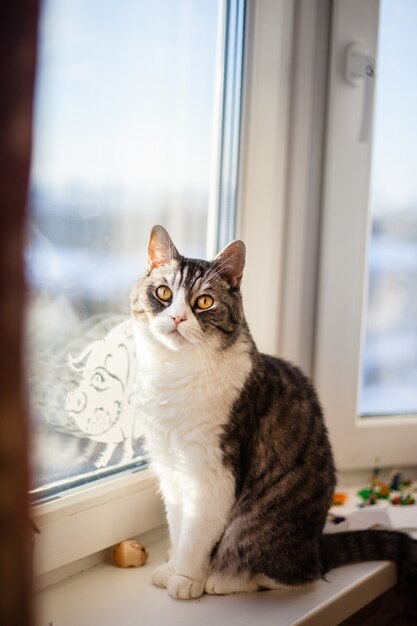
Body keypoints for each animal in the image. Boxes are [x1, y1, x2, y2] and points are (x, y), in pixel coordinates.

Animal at [130, 224, 416, 600]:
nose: (177, 317)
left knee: (295, 574)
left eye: (204, 301)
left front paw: (187, 578)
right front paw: (172, 566)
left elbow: (195, 536)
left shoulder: (213, 474)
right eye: (163, 293)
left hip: (260, 528)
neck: (175, 372)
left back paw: (223, 579)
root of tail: (317, 547)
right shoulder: (172, 468)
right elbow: (179, 527)